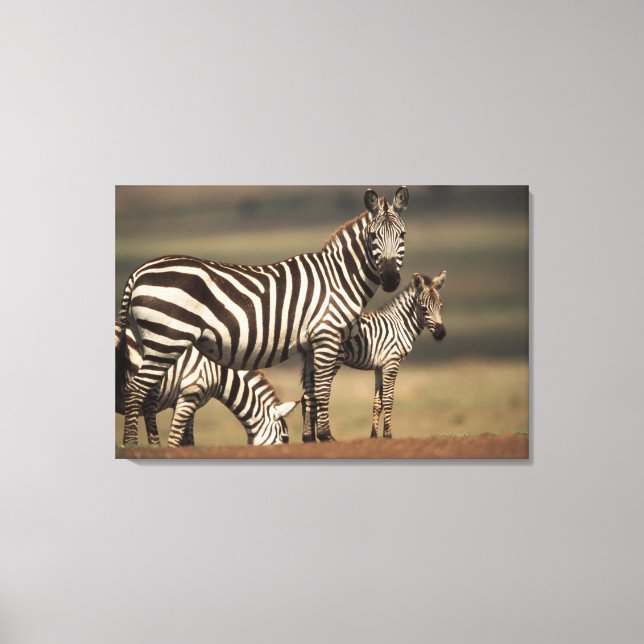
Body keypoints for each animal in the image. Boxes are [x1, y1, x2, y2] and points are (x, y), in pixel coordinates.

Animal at [115, 323, 297, 446]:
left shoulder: (188, 402)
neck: (218, 373)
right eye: (285, 438)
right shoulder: (190, 393)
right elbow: (175, 440)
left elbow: (188, 442)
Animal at [311, 271, 447, 439]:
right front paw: (387, 435)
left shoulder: (379, 367)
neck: (400, 325)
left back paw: (310, 438)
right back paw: (322, 436)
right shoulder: (392, 362)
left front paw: (374, 436)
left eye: (441, 306)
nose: (441, 334)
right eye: (423, 308)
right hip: (332, 358)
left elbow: (377, 402)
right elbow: (388, 399)